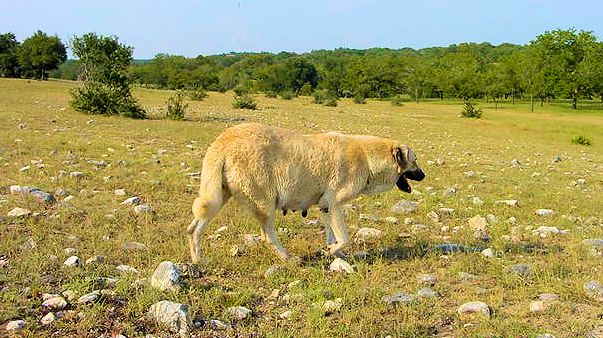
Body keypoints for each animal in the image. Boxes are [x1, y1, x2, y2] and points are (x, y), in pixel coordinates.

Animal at [188, 123, 424, 262]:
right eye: (415, 161)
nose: (423, 175)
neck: (367, 157)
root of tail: (223, 140)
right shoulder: (334, 204)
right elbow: (344, 237)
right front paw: (331, 251)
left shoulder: (326, 207)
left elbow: (333, 236)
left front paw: (334, 253)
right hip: (264, 204)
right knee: (267, 236)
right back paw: (288, 258)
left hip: (217, 196)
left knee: (193, 229)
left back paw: (198, 260)